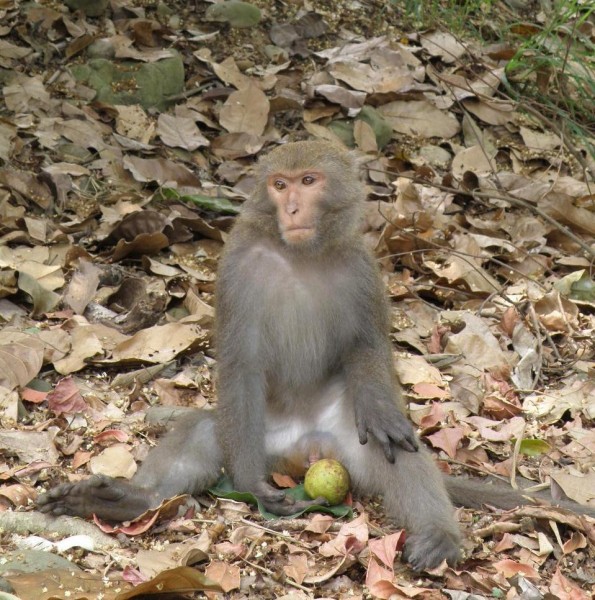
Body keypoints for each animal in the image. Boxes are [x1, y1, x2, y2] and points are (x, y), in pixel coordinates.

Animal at [39, 141, 595, 572]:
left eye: (308, 181)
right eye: (280, 185)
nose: (291, 210)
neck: (299, 255)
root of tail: (305, 447)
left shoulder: (362, 267)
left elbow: (367, 349)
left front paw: (381, 409)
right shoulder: (237, 267)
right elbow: (239, 363)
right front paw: (247, 483)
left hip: (346, 442)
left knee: (395, 448)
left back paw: (437, 533)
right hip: (258, 438)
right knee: (207, 429)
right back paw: (129, 499)